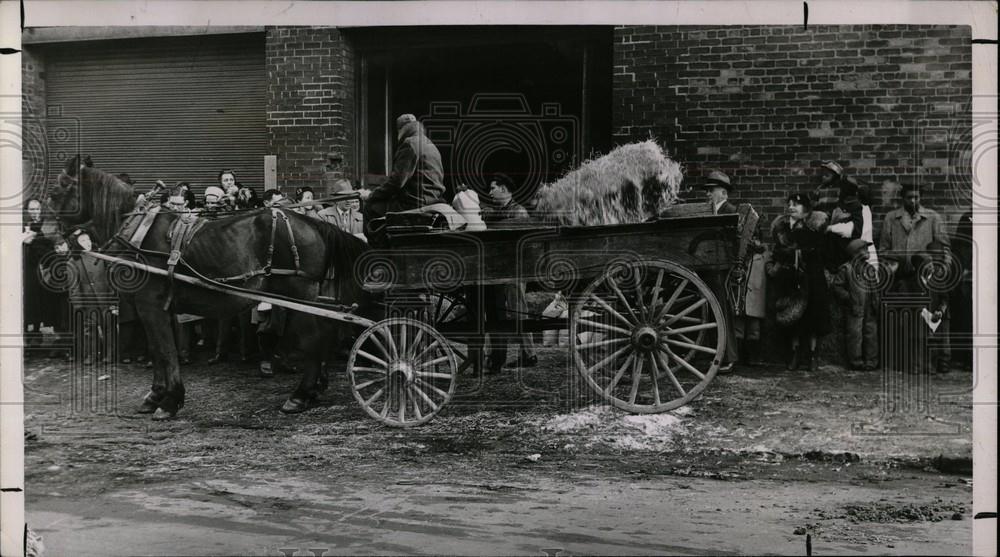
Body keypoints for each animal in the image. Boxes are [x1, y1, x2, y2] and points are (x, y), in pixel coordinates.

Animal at [49, 154, 376, 420]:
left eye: (57, 190)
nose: (53, 239)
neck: (139, 231)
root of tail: (312, 222)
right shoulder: (157, 307)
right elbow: (158, 349)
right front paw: (155, 395)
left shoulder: (150, 304)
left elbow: (164, 350)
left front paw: (169, 401)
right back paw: (317, 386)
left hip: (299, 289)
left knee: (314, 336)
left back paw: (300, 394)